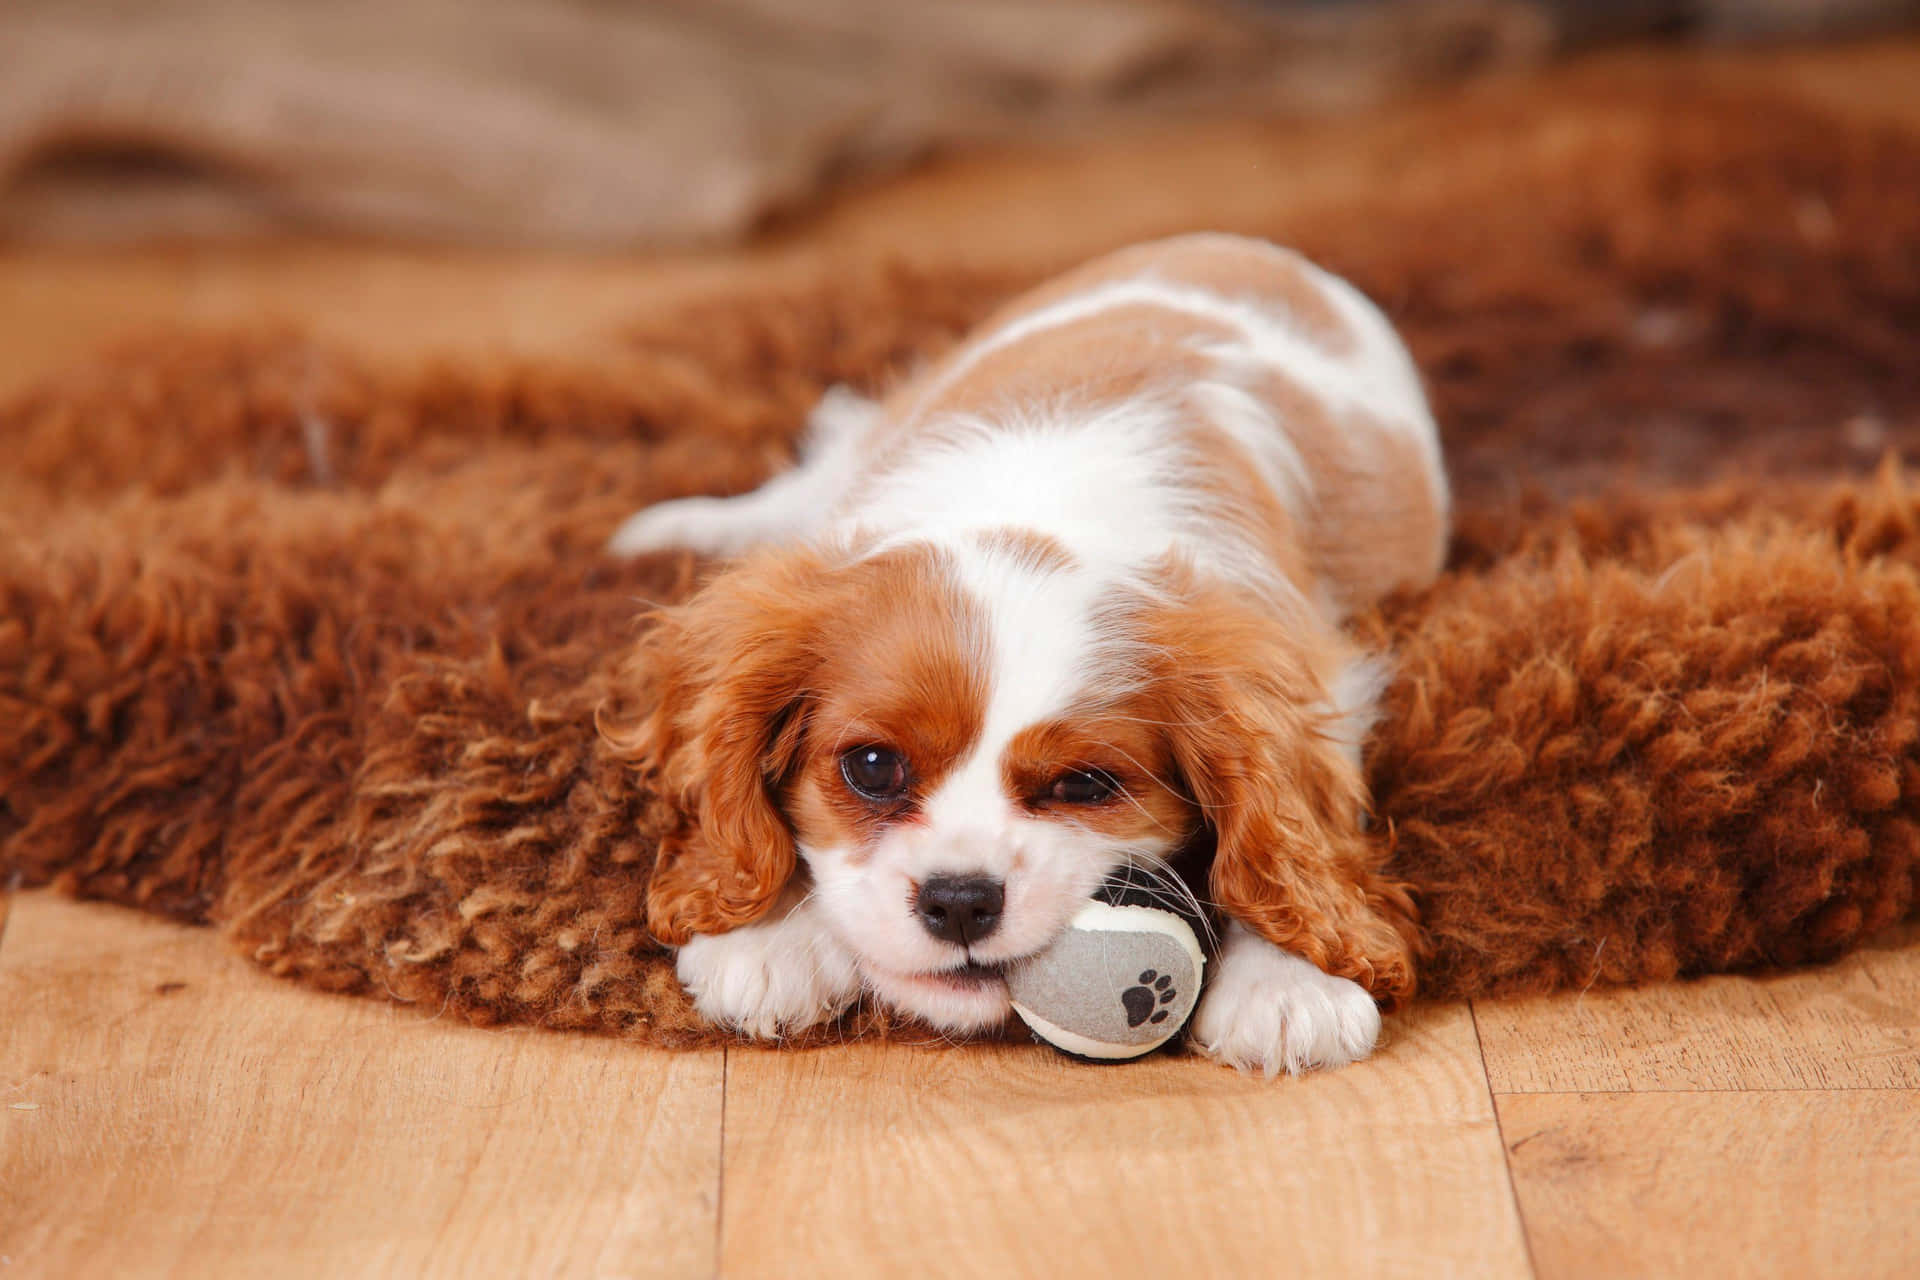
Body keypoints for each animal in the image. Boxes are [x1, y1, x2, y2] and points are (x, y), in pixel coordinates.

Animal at [606, 235, 1443, 1074]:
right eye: (871, 767)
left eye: (1084, 785)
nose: (959, 900)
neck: (1035, 506)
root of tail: (1238, 245)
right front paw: (771, 933)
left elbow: (1291, 830)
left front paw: (1291, 979)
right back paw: (672, 531)